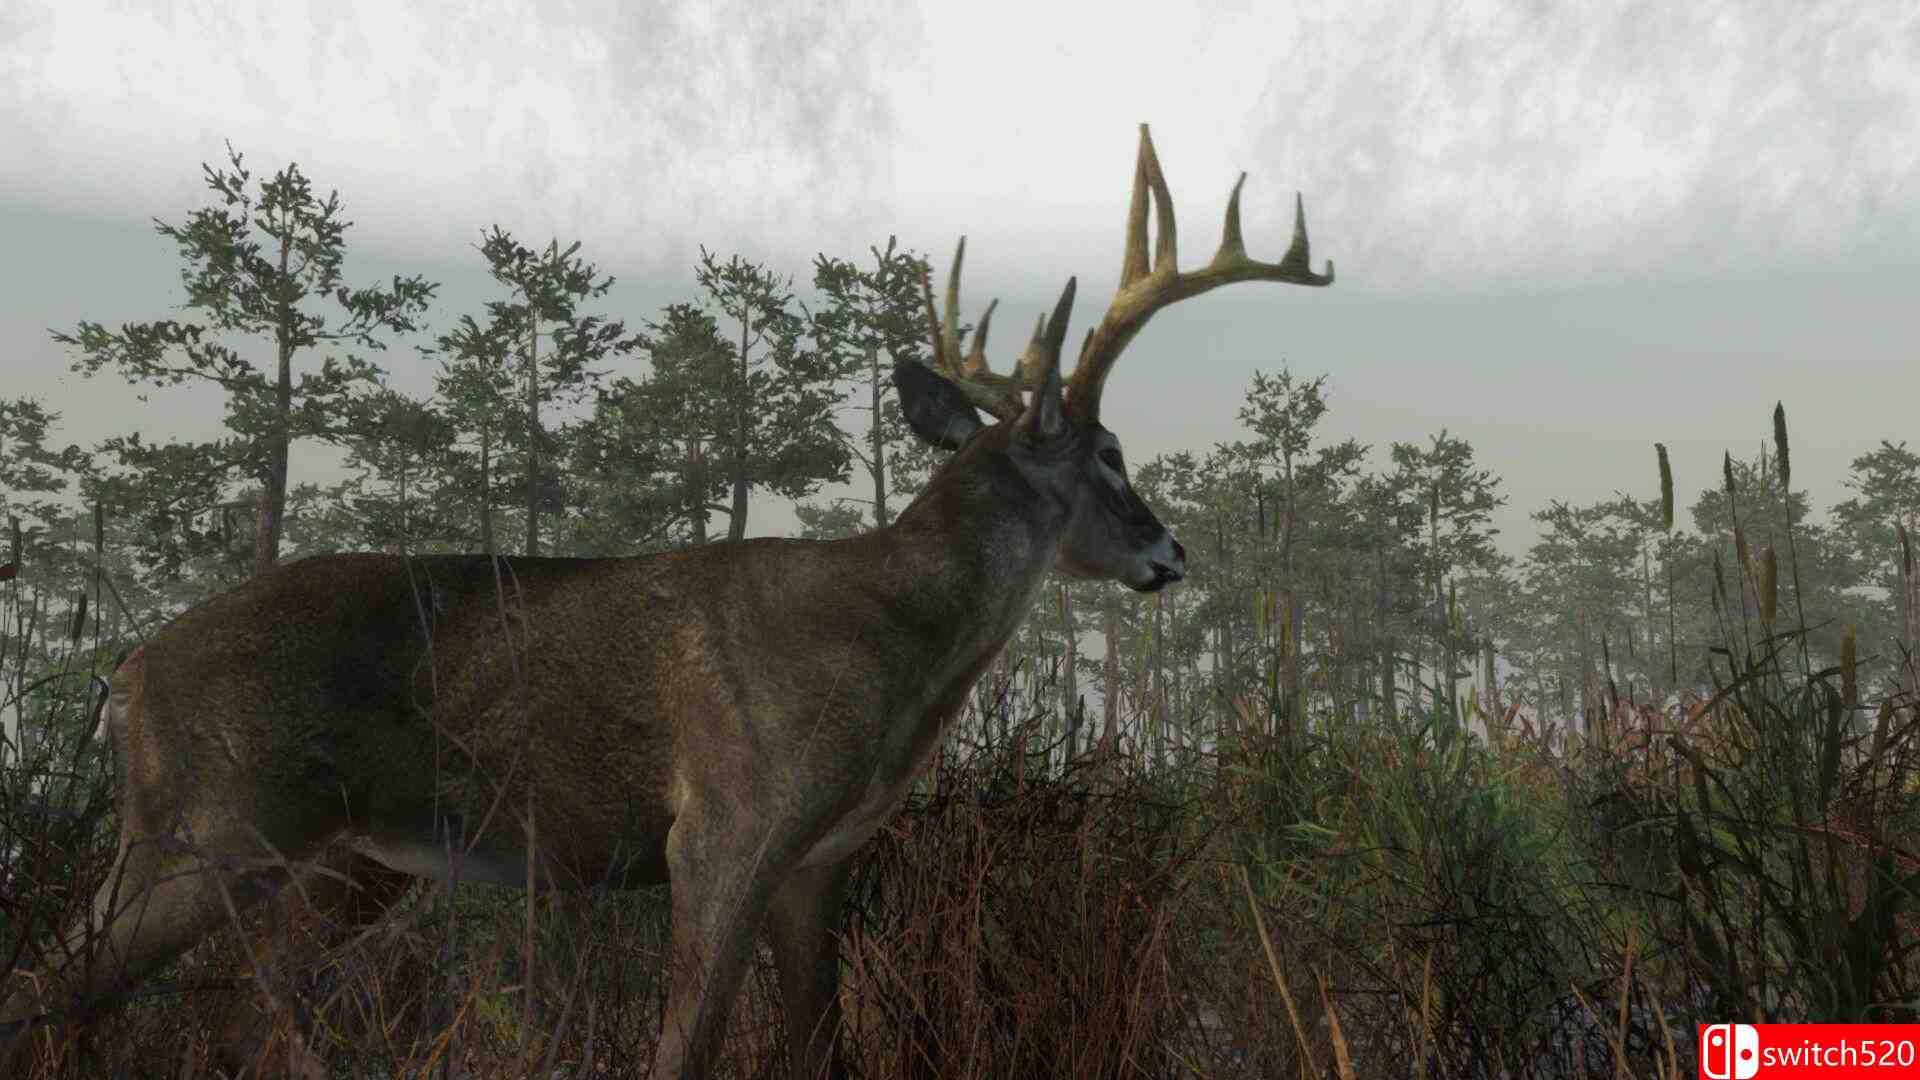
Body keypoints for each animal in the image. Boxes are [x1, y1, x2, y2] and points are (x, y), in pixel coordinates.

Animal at [1, 124, 1332, 1078]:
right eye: (1107, 454)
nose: (1171, 551)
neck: (892, 651)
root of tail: (125, 674)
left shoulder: (817, 860)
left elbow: (817, 1047)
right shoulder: (724, 826)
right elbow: (683, 1049)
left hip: (336, 865)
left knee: (231, 1014)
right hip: (209, 824)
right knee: (52, 989)